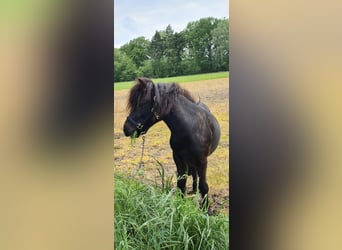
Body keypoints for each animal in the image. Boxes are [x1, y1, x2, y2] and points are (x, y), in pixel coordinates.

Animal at [124, 78, 220, 207]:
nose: (126, 129)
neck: (189, 128)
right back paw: (194, 190)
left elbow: (204, 186)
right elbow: (181, 183)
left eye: (142, 103)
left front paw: (206, 209)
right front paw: (180, 205)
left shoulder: (202, 161)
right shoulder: (178, 158)